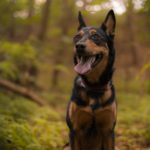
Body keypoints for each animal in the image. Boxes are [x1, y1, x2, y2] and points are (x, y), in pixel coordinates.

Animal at [65, 9, 116, 150]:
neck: (94, 87)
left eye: (95, 37)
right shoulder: (75, 131)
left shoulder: (108, 131)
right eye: (77, 37)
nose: (79, 46)